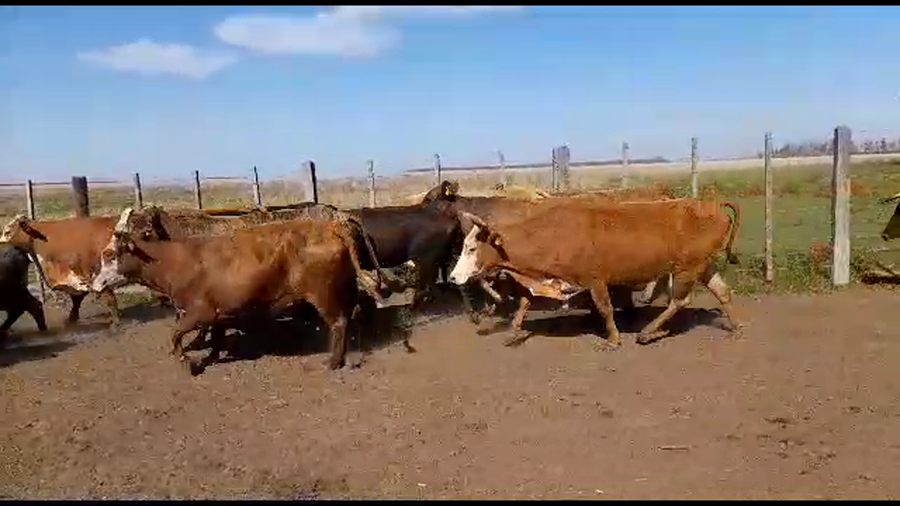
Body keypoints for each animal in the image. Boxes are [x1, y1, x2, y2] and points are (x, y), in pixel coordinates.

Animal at [92, 208, 400, 375]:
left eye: (109, 254)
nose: (95, 283)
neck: (176, 259)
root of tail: (333, 224)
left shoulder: (198, 312)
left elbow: (176, 335)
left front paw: (187, 361)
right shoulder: (217, 313)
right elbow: (214, 337)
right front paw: (211, 356)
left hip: (323, 293)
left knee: (338, 323)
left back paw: (333, 361)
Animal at [447, 198, 743, 349]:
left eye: (471, 248)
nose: (452, 277)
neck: (552, 234)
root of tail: (710, 204)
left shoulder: (595, 280)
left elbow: (605, 308)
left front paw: (612, 338)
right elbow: (524, 302)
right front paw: (514, 330)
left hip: (686, 268)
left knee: (679, 300)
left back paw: (649, 332)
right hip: (703, 265)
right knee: (722, 291)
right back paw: (737, 327)